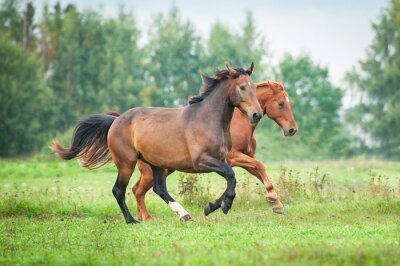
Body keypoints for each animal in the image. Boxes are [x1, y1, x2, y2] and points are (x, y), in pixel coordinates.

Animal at [51, 63, 262, 223]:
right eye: (242, 87)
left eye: (254, 87)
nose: (256, 114)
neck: (208, 120)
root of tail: (116, 121)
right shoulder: (202, 161)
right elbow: (231, 175)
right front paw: (223, 205)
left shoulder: (222, 159)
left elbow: (230, 178)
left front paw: (212, 206)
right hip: (127, 163)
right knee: (119, 190)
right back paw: (132, 220)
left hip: (157, 164)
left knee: (159, 189)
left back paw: (183, 215)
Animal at [128, 80, 296, 220]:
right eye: (281, 103)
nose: (292, 129)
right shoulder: (233, 158)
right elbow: (259, 167)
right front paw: (273, 199)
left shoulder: (240, 159)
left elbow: (257, 173)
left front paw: (277, 204)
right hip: (153, 172)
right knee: (139, 190)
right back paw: (146, 217)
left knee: (137, 189)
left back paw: (143, 217)